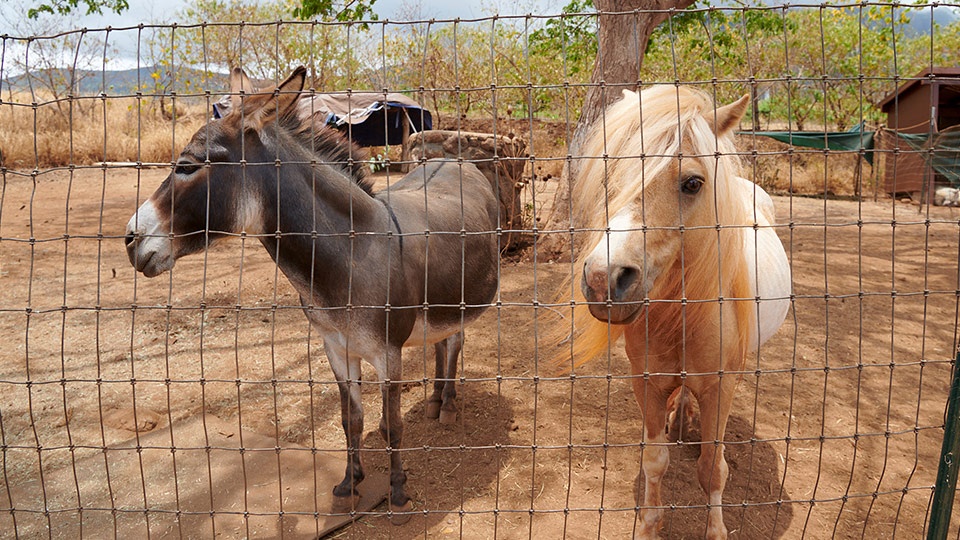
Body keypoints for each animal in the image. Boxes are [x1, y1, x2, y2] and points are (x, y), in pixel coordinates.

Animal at [124, 65, 498, 520]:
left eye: (185, 166)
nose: (129, 240)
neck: (351, 253)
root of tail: (454, 159)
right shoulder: (336, 347)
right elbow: (351, 419)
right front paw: (350, 482)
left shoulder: (387, 353)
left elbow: (391, 425)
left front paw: (397, 491)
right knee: (443, 342)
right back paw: (434, 401)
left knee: (455, 341)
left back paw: (448, 405)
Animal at [564, 86, 788, 536]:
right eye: (609, 177)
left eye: (692, 183)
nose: (602, 280)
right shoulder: (647, 383)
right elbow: (655, 460)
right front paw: (650, 525)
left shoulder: (720, 387)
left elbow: (713, 470)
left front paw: (716, 530)